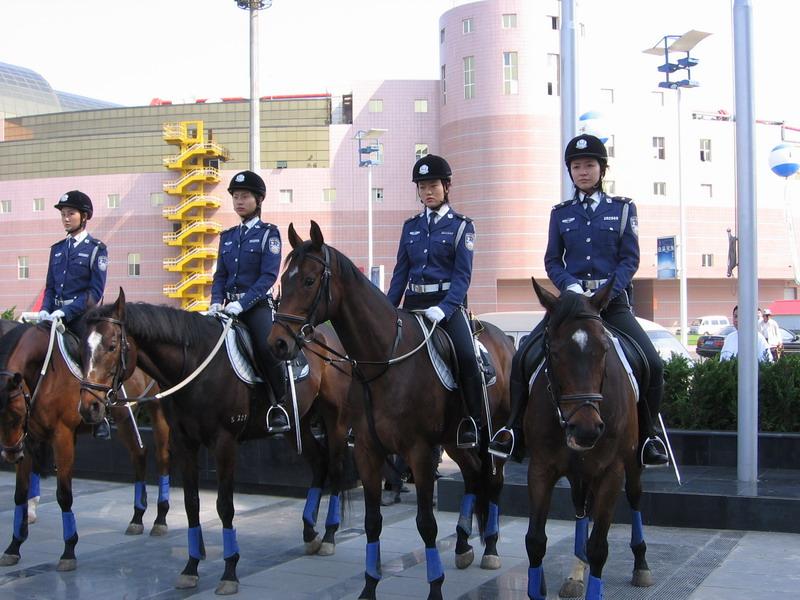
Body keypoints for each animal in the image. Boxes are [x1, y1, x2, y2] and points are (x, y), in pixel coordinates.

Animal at [0, 320, 171, 572]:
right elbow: (20, 494)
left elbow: (64, 495)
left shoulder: (62, 437)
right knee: (139, 453)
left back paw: (160, 517)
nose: (11, 455)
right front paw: (14, 546)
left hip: (157, 408)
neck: (43, 371)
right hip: (123, 416)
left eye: (17, 415)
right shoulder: (28, 440)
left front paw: (69, 550)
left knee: (162, 456)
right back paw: (137, 517)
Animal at [78, 291, 352, 595]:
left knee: (336, 468)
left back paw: (328, 535)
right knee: (319, 463)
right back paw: (309, 531)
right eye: (82, 349)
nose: (89, 406)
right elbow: (191, 503)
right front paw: (191, 566)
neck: (195, 367)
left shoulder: (225, 443)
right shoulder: (184, 443)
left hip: (335, 419)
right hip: (297, 424)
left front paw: (230, 570)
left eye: (112, 346)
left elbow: (225, 505)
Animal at [268, 221, 514, 600]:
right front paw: (369, 585)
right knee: (473, 475)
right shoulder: (368, 451)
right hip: (455, 440)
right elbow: (372, 523)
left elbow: (426, 524)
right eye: (284, 279)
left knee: (493, 479)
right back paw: (462, 544)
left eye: (308, 280)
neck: (384, 361)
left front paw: (435, 587)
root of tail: (505, 339)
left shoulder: (420, 453)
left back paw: (489, 547)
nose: (278, 343)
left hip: (492, 435)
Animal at [522, 277, 653, 600]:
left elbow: (598, 547)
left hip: (631, 461)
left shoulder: (611, 472)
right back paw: (576, 570)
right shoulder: (541, 469)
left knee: (635, 496)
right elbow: (535, 541)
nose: (586, 429)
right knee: (581, 506)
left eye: (604, 349)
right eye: (554, 352)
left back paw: (641, 563)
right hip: (578, 471)